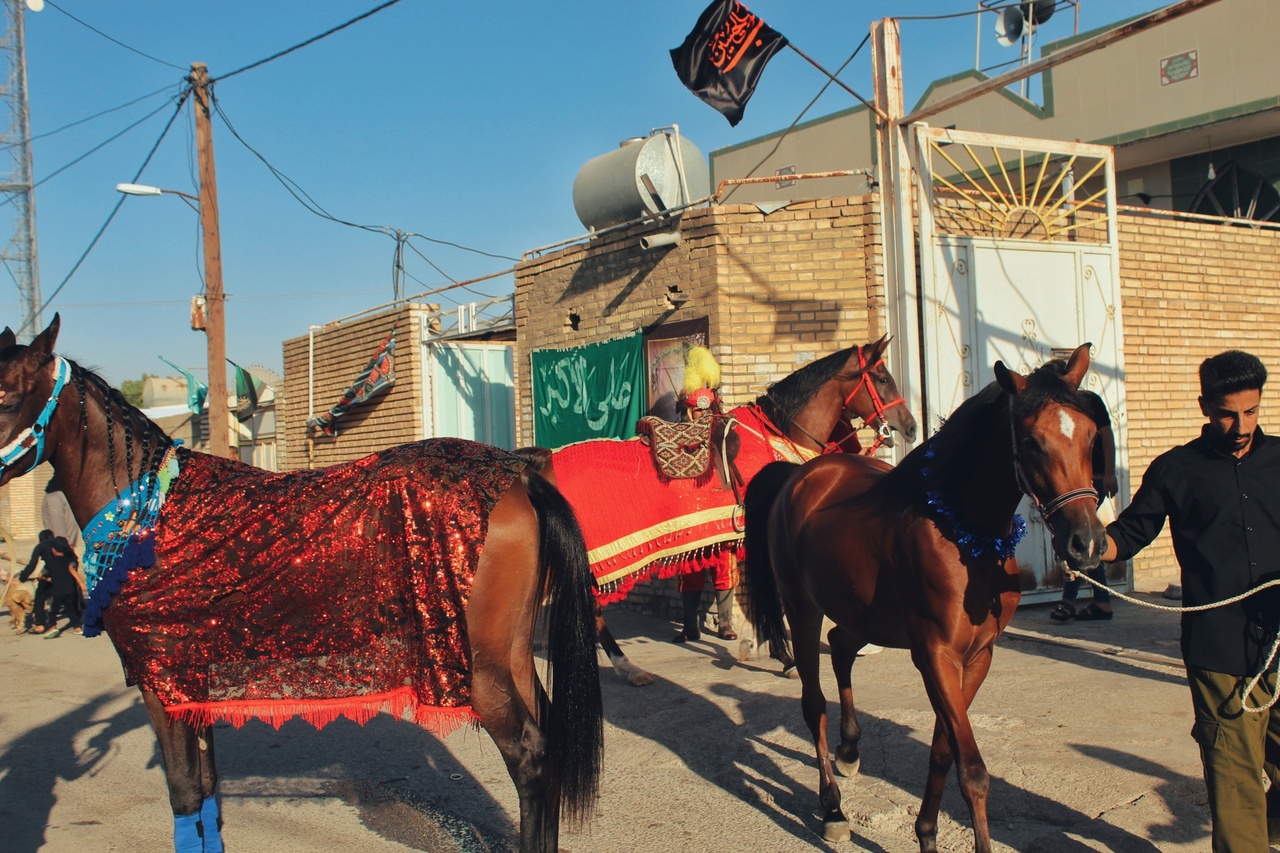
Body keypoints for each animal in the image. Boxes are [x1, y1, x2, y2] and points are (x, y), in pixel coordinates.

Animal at [0, 315, 601, 845]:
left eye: (7, 396)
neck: (151, 513)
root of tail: (519, 474)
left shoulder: (162, 683)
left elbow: (186, 794)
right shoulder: (192, 685)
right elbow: (207, 792)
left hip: (479, 669)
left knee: (529, 756)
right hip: (513, 654)